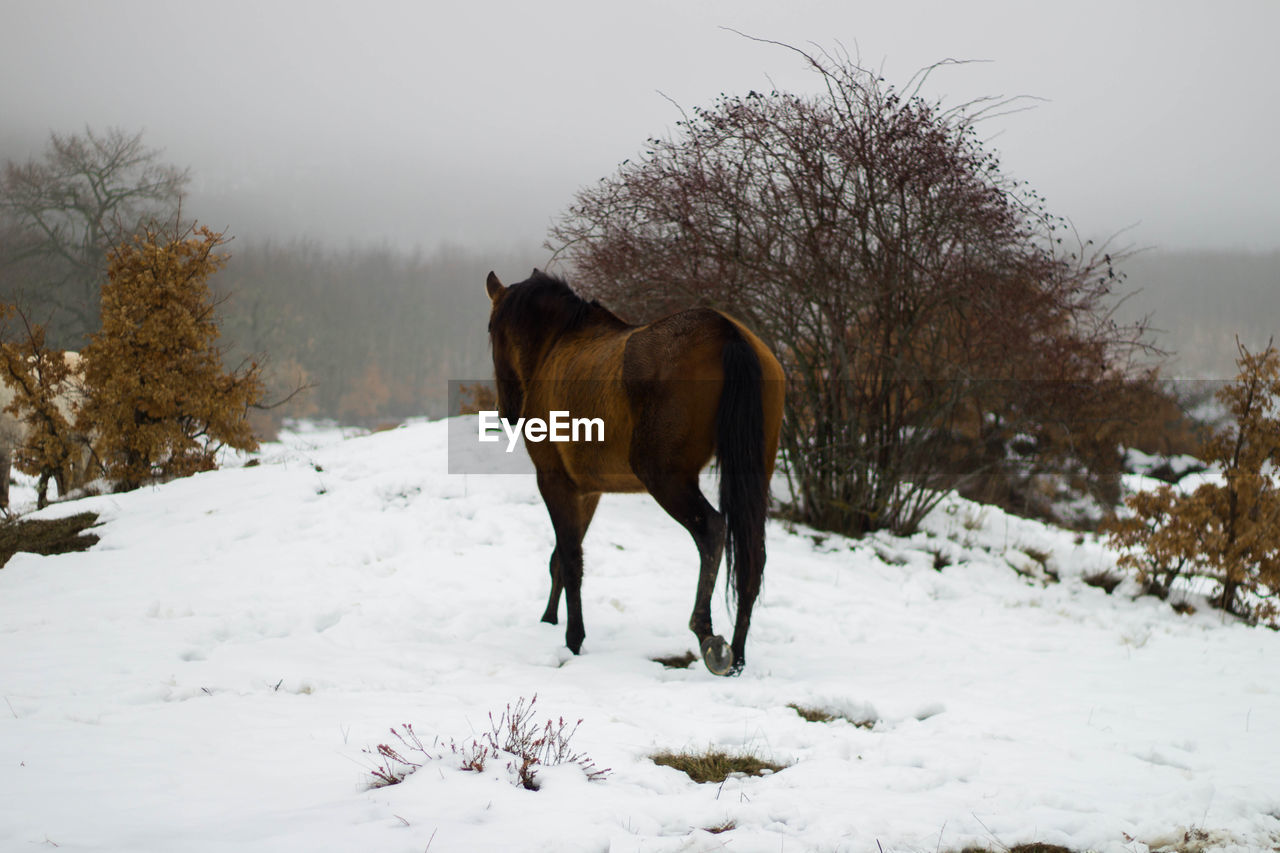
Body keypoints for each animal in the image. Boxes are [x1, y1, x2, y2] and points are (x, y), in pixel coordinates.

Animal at [483, 268, 783, 676]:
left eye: (491, 328)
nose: (507, 411)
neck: (558, 343)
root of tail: (728, 334)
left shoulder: (554, 480)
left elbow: (570, 559)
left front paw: (572, 639)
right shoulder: (587, 490)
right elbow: (561, 557)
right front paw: (550, 621)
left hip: (665, 477)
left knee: (712, 531)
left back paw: (706, 635)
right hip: (753, 474)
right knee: (752, 556)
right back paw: (737, 656)